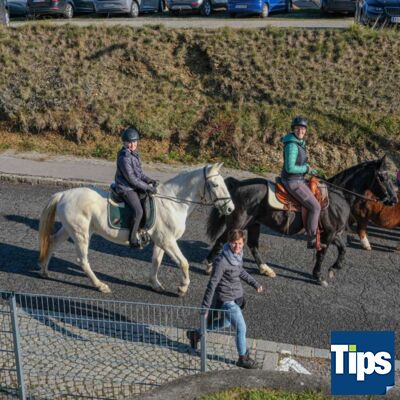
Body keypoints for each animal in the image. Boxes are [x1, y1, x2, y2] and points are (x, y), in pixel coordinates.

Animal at [38, 163, 235, 296]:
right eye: (215, 185)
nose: (230, 209)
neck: (173, 202)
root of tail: (63, 194)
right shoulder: (168, 241)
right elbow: (184, 262)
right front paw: (182, 288)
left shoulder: (161, 241)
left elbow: (156, 261)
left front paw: (155, 284)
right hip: (81, 234)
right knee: (82, 260)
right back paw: (100, 286)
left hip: (69, 229)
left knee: (52, 242)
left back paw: (44, 271)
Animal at [204, 156, 398, 287]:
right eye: (382, 177)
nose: (394, 199)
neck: (338, 196)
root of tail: (237, 185)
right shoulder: (328, 235)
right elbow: (322, 254)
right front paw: (318, 276)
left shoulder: (332, 233)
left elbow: (343, 249)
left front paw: (334, 269)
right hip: (238, 223)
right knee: (222, 240)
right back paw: (209, 265)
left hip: (253, 224)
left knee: (253, 245)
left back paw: (265, 269)